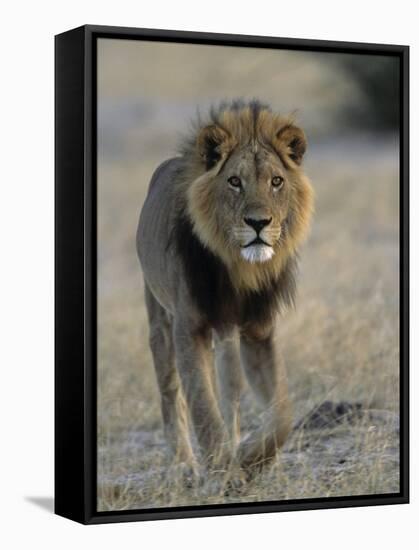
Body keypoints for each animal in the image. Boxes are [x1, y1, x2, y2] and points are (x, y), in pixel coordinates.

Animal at [138, 101, 316, 480]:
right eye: (235, 181)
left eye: (276, 181)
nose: (258, 223)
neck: (240, 269)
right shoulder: (189, 327)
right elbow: (203, 408)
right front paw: (223, 472)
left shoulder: (259, 332)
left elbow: (283, 413)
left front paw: (250, 458)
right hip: (160, 319)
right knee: (170, 390)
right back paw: (184, 464)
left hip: (227, 336)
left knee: (230, 390)